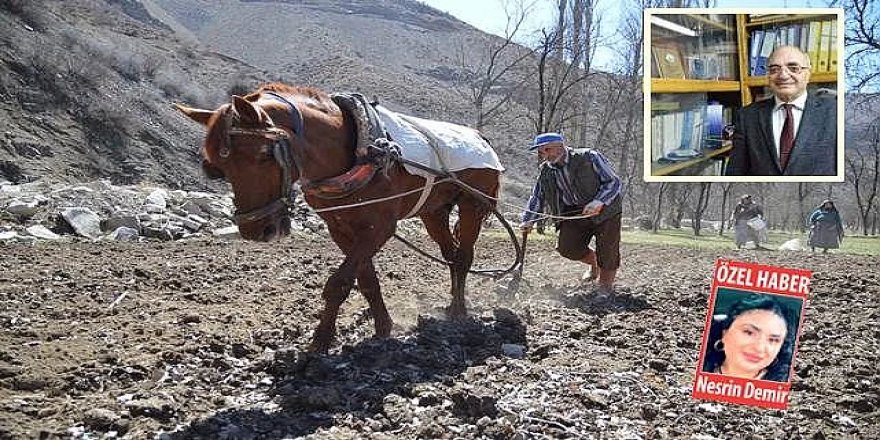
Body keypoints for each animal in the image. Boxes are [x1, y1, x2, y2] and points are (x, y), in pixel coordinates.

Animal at [177, 81, 502, 350]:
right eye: (218, 168)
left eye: (265, 154)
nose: (256, 230)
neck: (361, 150)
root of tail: (480, 137)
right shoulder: (340, 227)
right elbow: (366, 280)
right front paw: (382, 327)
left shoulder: (379, 227)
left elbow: (339, 283)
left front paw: (321, 339)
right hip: (433, 212)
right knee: (451, 254)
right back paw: (451, 304)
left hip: (473, 206)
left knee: (463, 257)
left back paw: (459, 311)